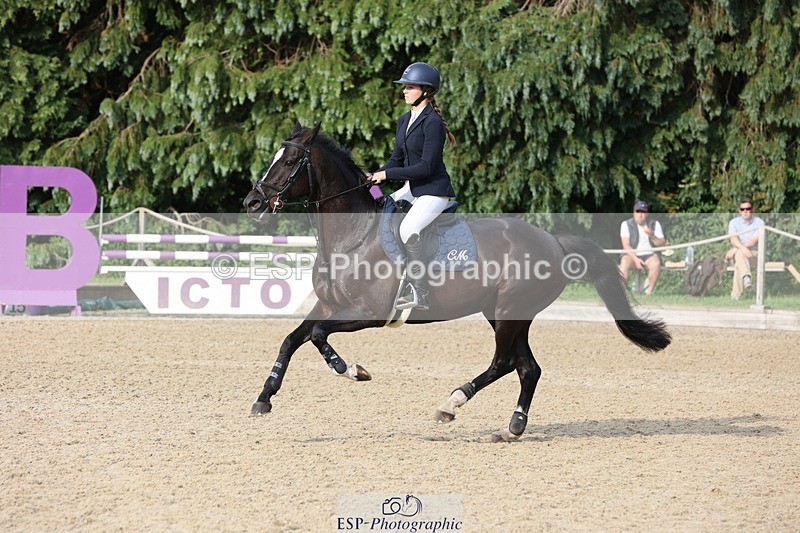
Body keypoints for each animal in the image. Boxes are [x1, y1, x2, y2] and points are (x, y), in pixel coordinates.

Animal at [243, 122, 671, 442]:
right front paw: (264, 398)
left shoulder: (368, 312)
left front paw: (351, 370)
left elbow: (318, 335)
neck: (352, 235)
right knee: (527, 367)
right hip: (503, 314)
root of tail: (553, 241)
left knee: (505, 362)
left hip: (510, 311)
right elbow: (292, 339)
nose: (252, 203)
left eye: (291, 161)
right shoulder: (329, 305)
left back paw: (453, 403)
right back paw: (512, 427)